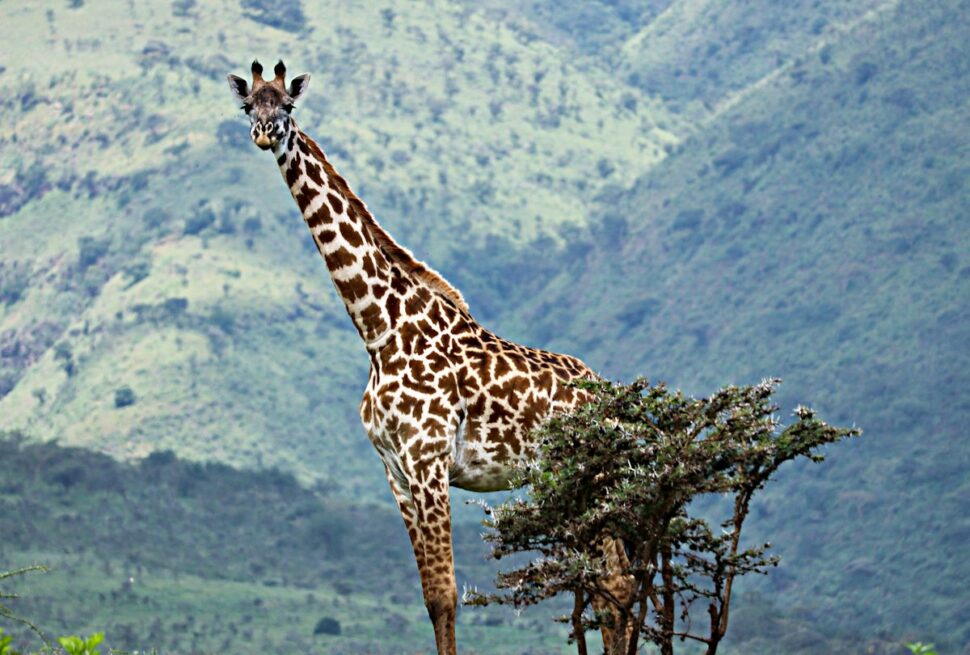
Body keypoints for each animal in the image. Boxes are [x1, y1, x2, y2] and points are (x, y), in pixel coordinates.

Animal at [228, 60, 633, 654]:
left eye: (288, 106)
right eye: (247, 105)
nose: (264, 133)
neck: (379, 329)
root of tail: (615, 403)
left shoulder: (429, 460)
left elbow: (446, 596)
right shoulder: (395, 471)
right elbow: (430, 598)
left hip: (590, 478)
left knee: (616, 583)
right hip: (572, 485)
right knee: (609, 586)